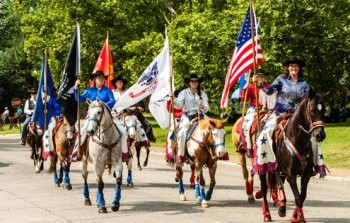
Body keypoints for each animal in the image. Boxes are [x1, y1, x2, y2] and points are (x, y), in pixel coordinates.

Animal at [258, 89, 328, 222]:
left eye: (324, 111)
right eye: (312, 110)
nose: (320, 135)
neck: (297, 139)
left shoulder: (306, 174)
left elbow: (302, 196)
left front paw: (297, 217)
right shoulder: (291, 173)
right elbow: (297, 197)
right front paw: (296, 217)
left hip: (279, 171)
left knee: (279, 184)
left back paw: (281, 206)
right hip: (264, 169)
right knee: (264, 189)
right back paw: (267, 214)